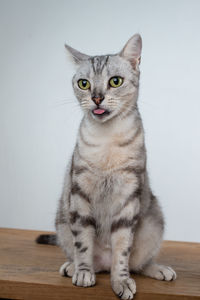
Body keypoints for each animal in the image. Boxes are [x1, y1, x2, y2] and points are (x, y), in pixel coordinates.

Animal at [36, 34, 177, 298]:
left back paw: (159, 269)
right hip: (63, 221)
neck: (107, 142)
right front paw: (83, 272)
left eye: (115, 81)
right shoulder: (80, 194)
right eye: (83, 84)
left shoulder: (128, 196)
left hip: (153, 221)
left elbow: (122, 253)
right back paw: (73, 267)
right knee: (79, 252)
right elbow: (83, 244)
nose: (97, 98)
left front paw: (120, 281)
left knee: (139, 264)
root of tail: (102, 263)